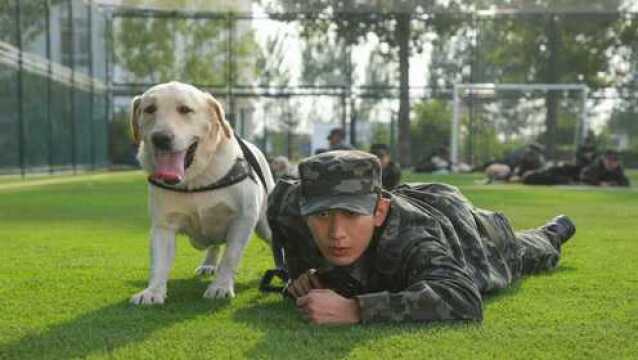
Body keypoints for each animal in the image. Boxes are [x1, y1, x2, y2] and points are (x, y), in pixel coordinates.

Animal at [129, 81, 274, 304]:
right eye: (149, 109)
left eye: (185, 109)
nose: (161, 138)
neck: (196, 180)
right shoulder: (163, 225)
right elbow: (159, 262)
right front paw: (153, 291)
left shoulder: (243, 219)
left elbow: (230, 256)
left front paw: (220, 287)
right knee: (214, 245)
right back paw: (209, 263)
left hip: (265, 224)